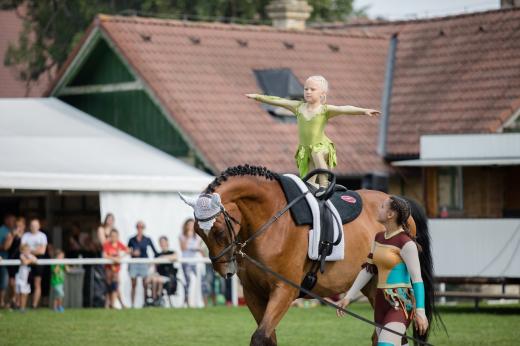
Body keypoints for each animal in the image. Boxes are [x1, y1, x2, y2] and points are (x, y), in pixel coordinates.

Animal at [181, 166, 432, 346]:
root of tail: (398, 200)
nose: (225, 270)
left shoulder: (284, 290)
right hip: (372, 284)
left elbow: (260, 337)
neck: (271, 218)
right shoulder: (254, 294)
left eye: (219, 231)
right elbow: (269, 337)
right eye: (197, 232)